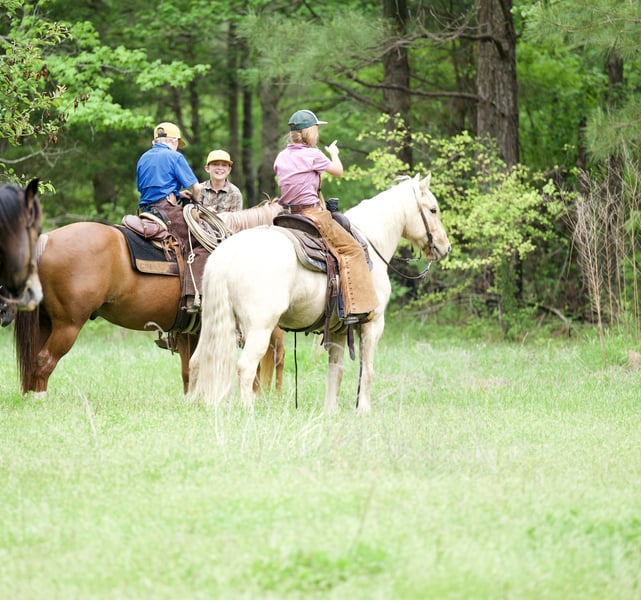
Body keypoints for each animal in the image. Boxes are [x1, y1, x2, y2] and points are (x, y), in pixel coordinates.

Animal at [13, 202, 286, 397]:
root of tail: (47, 240)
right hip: (68, 325)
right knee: (44, 360)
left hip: (46, 322)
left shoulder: (189, 331)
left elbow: (189, 370)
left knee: (33, 360)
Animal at [188, 174, 451, 413]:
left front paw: (330, 411)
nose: (445, 247)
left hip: (214, 323)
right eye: (433, 210)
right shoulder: (374, 323)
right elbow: (367, 370)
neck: (371, 241)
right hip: (259, 327)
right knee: (245, 366)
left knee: (198, 360)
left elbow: (336, 370)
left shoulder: (338, 329)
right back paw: (248, 412)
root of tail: (225, 254)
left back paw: (195, 404)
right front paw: (364, 411)